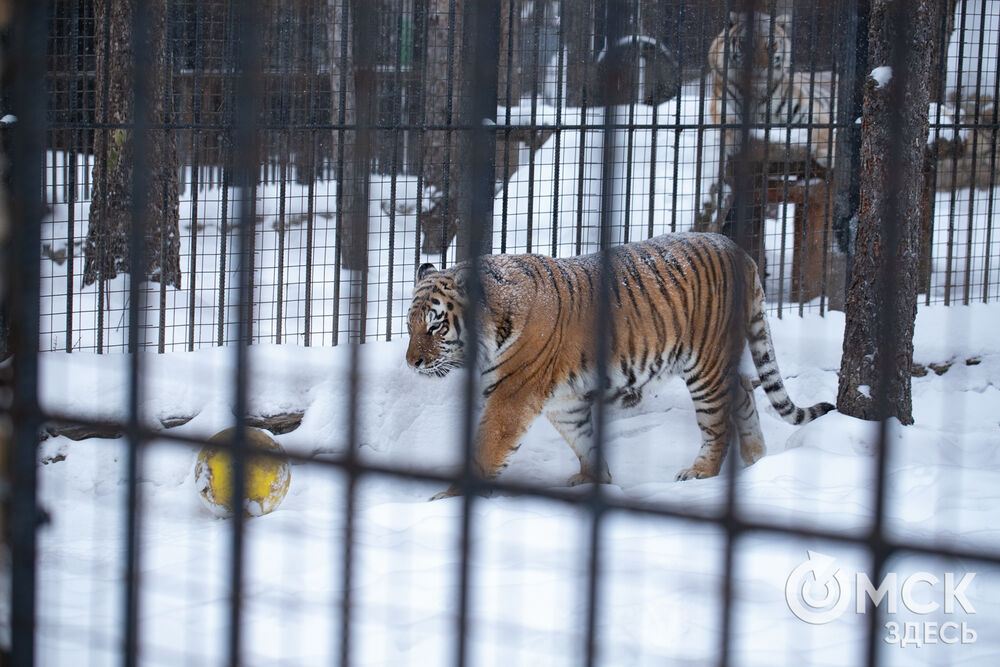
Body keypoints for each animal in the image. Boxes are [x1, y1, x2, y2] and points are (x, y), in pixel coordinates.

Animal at [406, 232, 836, 498]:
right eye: (409, 325)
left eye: (436, 325)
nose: (411, 363)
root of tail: (739, 250)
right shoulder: (563, 401)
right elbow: (584, 439)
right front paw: (594, 481)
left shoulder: (512, 396)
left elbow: (486, 448)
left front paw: (449, 498)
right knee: (746, 396)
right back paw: (757, 462)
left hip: (705, 366)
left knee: (719, 424)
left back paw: (701, 473)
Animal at [708, 11, 840, 171]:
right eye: (744, 44)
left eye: (771, 45)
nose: (759, 67)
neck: (756, 91)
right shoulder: (722, 101)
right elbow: (728, 120)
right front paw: (732, 143)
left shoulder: (806, 107)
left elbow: (823, 127)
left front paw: (830, 154)